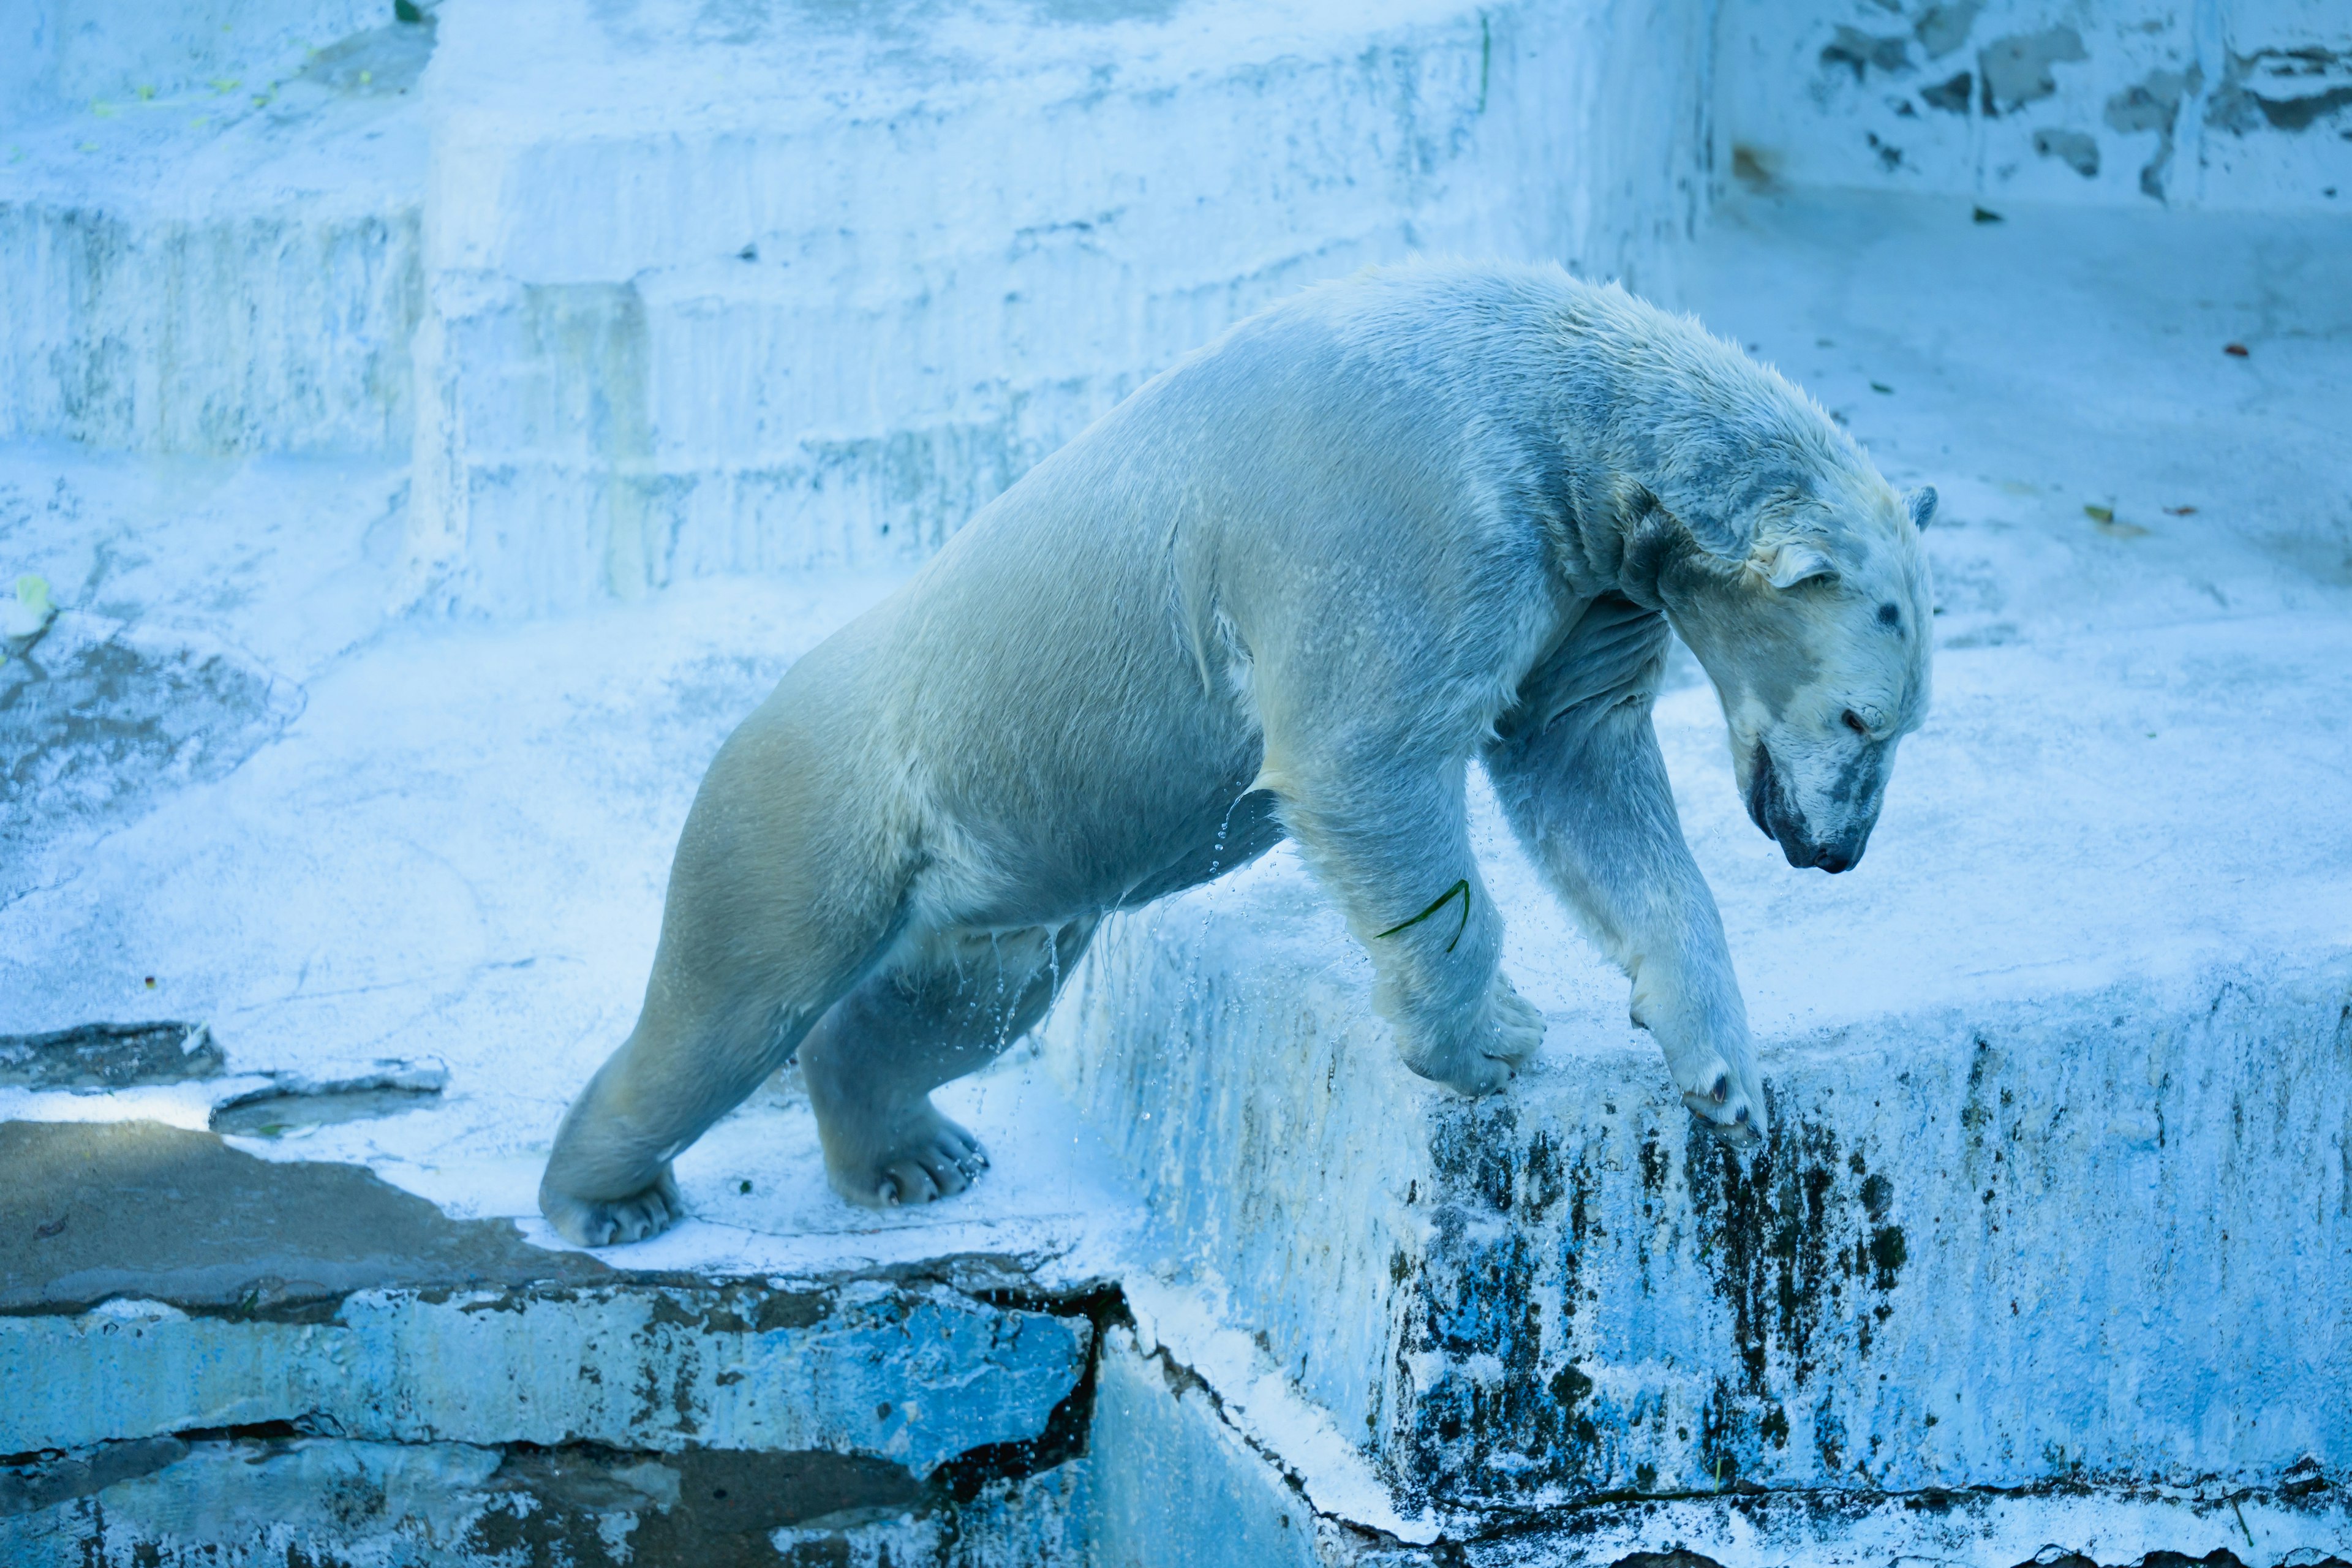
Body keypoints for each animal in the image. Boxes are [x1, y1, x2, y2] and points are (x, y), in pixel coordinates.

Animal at [538, 266, 1928, 1250]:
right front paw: (1489, 1039)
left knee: (950, 1004)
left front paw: (1723, 1070)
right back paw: (610, 1197)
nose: (1837, 852)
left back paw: (916, 1153)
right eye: (1865, 721)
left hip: (999, 874)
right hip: (820, 802)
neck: (1555, 404)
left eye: (1906, 724)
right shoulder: (1407, 511)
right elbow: (1368, 758)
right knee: (730, 1006)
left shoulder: (1584, 580)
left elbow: (1584, 772)